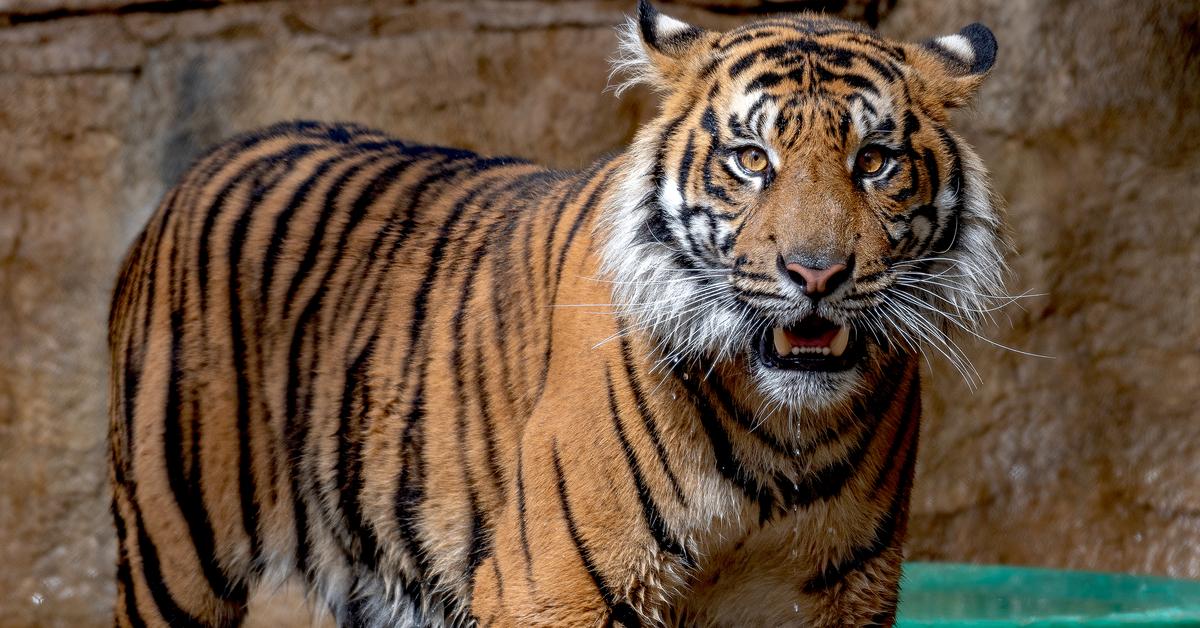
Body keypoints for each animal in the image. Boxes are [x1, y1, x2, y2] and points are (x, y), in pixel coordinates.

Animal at [103, 2, 1008, 624]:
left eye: (874, 161)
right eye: (752, 160)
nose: (815, 274)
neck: (783, 435)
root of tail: (215, 157)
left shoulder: (840, 595)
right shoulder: (554, 587)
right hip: (172, 557)